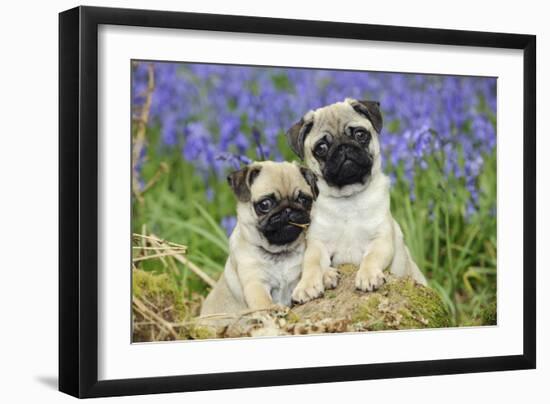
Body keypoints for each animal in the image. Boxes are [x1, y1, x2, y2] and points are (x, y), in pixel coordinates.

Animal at [201, 161, 320, 316]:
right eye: (265, 204)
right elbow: (262, 301)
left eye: (304, 200)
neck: (280, 253)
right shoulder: (255, 282)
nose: (288, 210)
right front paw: (272, 309)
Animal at [286, 97, 430, 304]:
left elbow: (371, 257)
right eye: (321, 148)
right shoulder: (317, 244)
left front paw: (368, 275)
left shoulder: (381, 239)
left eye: (360, 135)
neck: (349, 199)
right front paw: (307, 285)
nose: (343, 147)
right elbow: (311, 264)